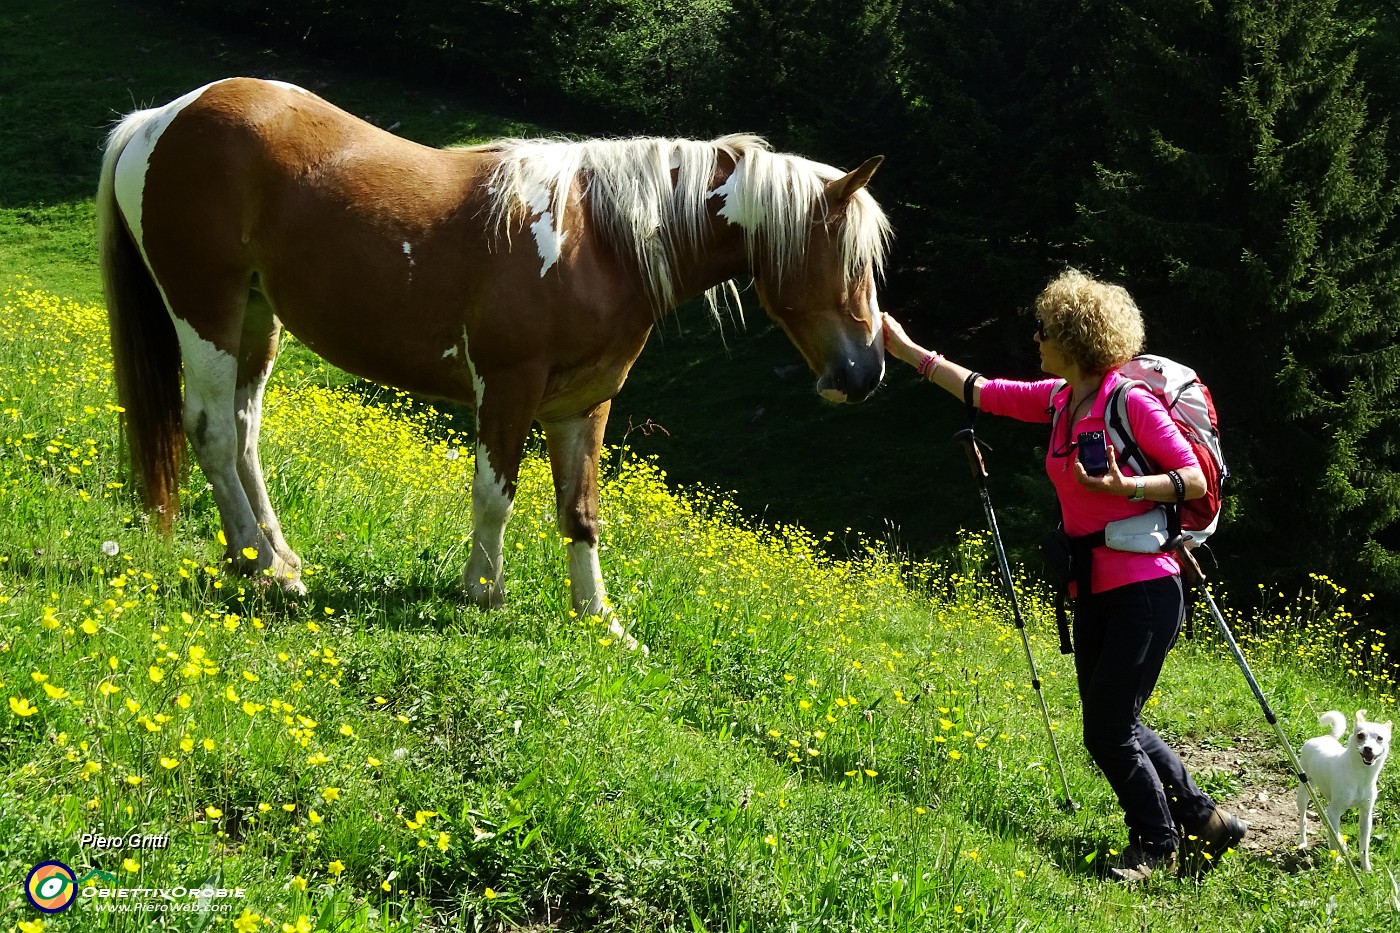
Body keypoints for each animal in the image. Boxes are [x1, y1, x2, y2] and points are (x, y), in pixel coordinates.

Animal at [98, 76, 890, 644]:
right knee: (211, 432)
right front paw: (484, 593)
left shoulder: (583, 405)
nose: (865, 374)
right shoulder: (509, 387)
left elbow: (581, 511)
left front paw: (600, 619)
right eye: (844, 256)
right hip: (206, 309)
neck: (600, 238)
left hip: (257, 320)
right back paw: (262, 568)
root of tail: (160, 118)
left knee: (244, 435)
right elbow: (494, 496)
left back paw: (278, 555)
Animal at [1299, 708, 1388, 868]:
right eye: (1360, 735)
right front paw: (1336, 862)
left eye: (1380, 738)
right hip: (1303, 792)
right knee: (1303, 819)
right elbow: (1333, 842)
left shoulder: (1366, 815)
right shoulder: (1334, 810)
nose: (1368, 748)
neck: (1361, 776)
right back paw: (1302, 841)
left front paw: (1366, 868)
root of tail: (1327, 736)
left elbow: (1364, 846)